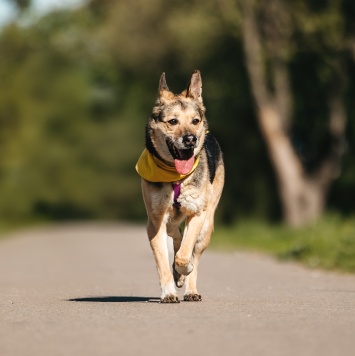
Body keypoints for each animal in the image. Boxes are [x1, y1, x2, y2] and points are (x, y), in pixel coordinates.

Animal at [137, 70, 225, 304]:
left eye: (195, 121)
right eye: (173, 121)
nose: (191, 139)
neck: (176, 177)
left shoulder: (197, 213)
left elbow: (185, 255)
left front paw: (183, 271)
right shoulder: (155, 221)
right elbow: (163, 263)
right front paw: (168, 292)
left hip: (207, 225)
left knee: (193, 250)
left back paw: (191, 289)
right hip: (168, 220)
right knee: (175, 234)